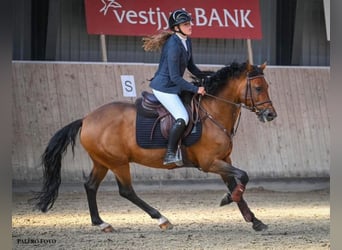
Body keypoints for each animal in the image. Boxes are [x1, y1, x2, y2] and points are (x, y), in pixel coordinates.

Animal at [33, 60, 276, 232]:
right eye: (257, 88)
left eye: (267, 86)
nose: (270, 115)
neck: (213, 112)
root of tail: (86, 119)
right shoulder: (210, 163)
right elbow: (243, 177)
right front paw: (227, 200)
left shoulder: (224, 160)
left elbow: (237, 184)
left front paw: (254, 220)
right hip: (118, 162)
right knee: (126, 191)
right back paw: (162, 219)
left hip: (102, 161)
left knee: (90, 186)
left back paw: (102, 223)